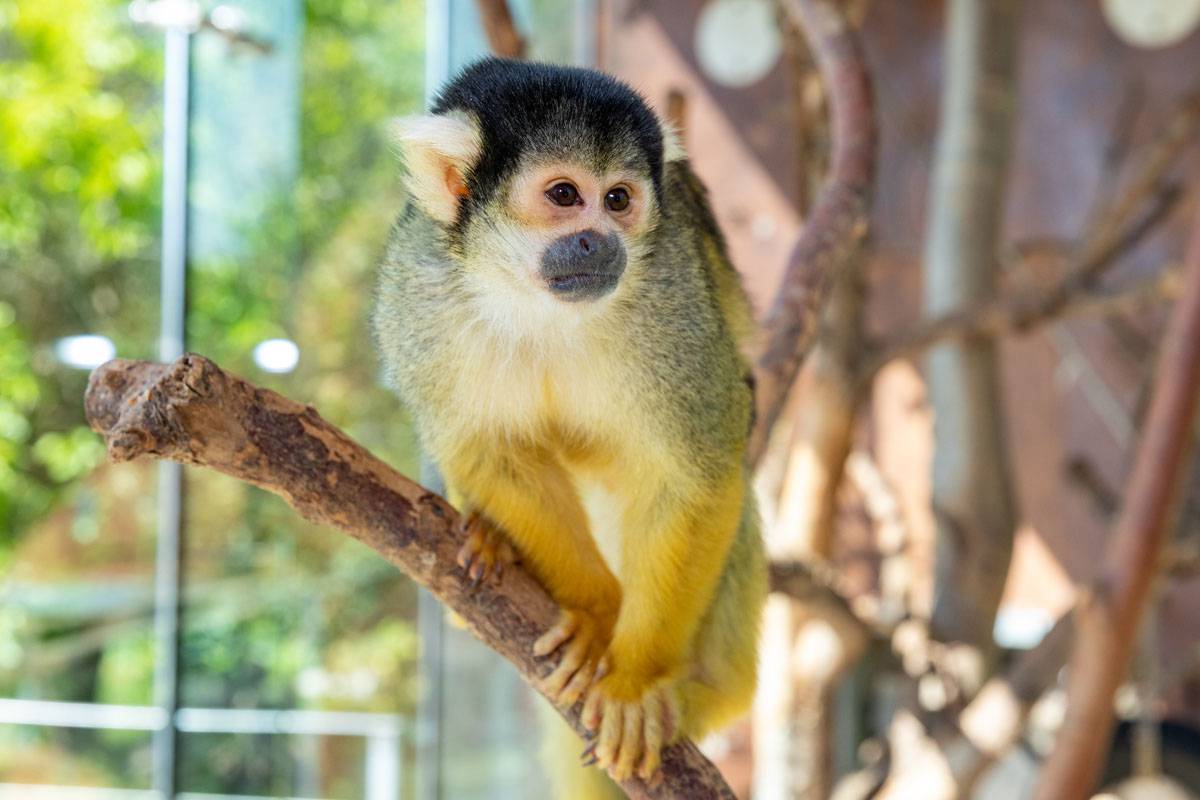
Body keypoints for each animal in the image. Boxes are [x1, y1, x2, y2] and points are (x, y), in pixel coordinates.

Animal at [374, 57, 768, 796]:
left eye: (618, 200)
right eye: (564, 194)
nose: (599, 240)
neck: (531, 300)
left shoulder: (671, 293)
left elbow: (699, 477)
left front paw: (635, 682)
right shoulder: (417, 294)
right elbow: (487, 452)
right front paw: (592, 613)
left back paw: (702, 692)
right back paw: (492, 539)